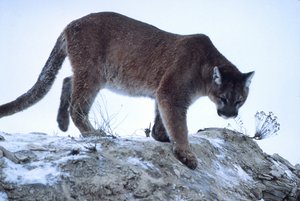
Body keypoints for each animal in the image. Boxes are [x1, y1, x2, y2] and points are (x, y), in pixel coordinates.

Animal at [0, 12, 254, 170]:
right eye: (223, 98)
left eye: (240, 101)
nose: (230, 115)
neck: (204, 70)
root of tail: (71, 23)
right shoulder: (171, 94)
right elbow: (179, 125)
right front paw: (186, 154)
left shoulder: (162, 93)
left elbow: (162, 118)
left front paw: (160, 136)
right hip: (93, 73)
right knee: (77, 106)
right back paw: (94, 133)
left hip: (93, 74)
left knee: (67, 80)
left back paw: (62, 123)